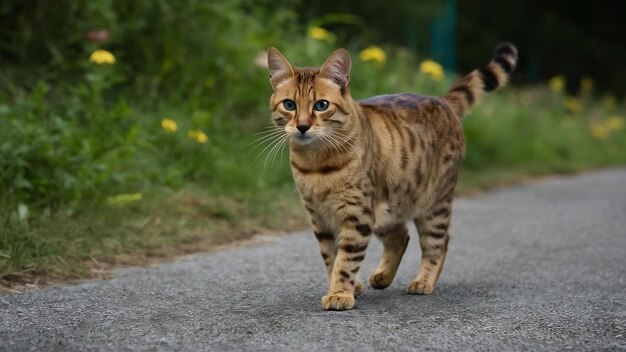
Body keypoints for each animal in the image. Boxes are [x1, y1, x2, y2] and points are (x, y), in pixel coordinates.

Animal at [266, 42, 516, 310]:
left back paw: (423, 281)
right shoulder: (320, 218)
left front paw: (340, 294)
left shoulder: (356, 214)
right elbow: (331, 257)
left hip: (433, 204)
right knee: (401, 236)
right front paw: (347, 288)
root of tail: (443, 101)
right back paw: (383, 277)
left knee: (438, 241)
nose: (302, 126)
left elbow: (345, 260)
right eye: (289, 105)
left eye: (321, 105)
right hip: (387, 206)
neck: (316, 164)